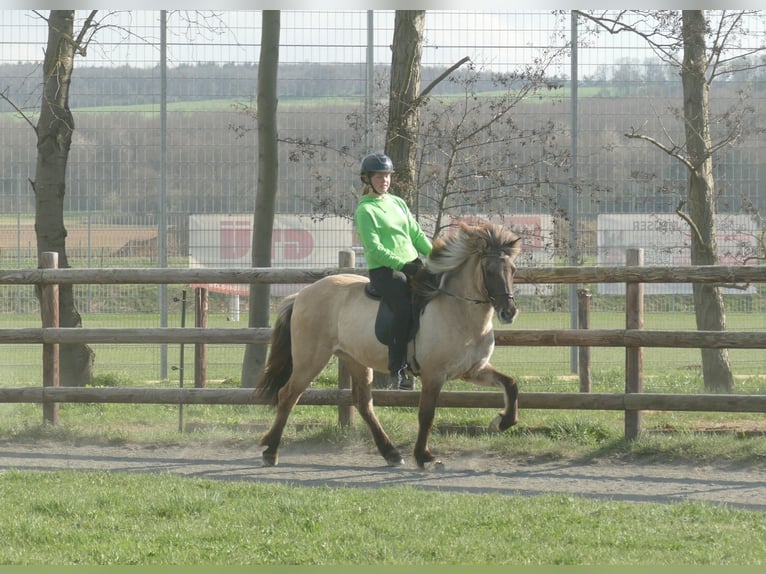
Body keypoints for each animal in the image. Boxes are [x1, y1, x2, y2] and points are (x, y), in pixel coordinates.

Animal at [255, 220, 522, 469]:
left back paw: (391, 453)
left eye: (512, 269)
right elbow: (427, 415)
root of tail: (302, 294)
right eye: (488, 270)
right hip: (311, 359)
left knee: (363, 403)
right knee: (288, 395)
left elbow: (510, 384)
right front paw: (424, 457)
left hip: (355, 360)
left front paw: (501, 422)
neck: (459, 312)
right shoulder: (434, 375)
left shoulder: (473, 370)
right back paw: (271, 452)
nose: (509, 312)